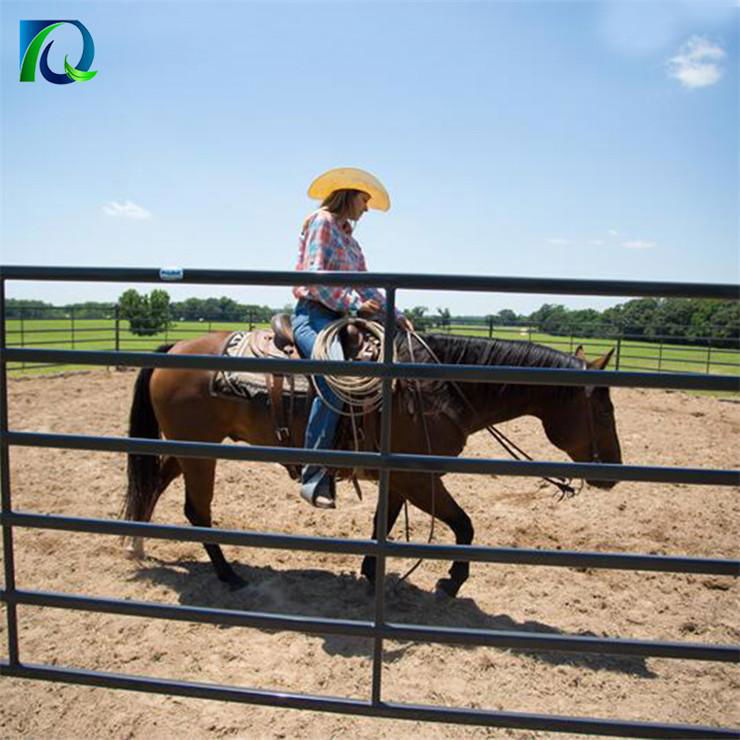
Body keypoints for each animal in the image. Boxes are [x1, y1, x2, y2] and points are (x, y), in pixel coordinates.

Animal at [124, 332, 620, 600]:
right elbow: (464, 526)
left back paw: (138, 545)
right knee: (196, 511)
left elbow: (386, 520)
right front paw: (452, 581)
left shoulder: (399, 476)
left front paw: (368, 571)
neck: (436, 387)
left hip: (190, 450)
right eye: (602, 411)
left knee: (153, 484)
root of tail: (174, 349)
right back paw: (229, 575)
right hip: (200, 451)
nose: (613, 472)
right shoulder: (417, 477)